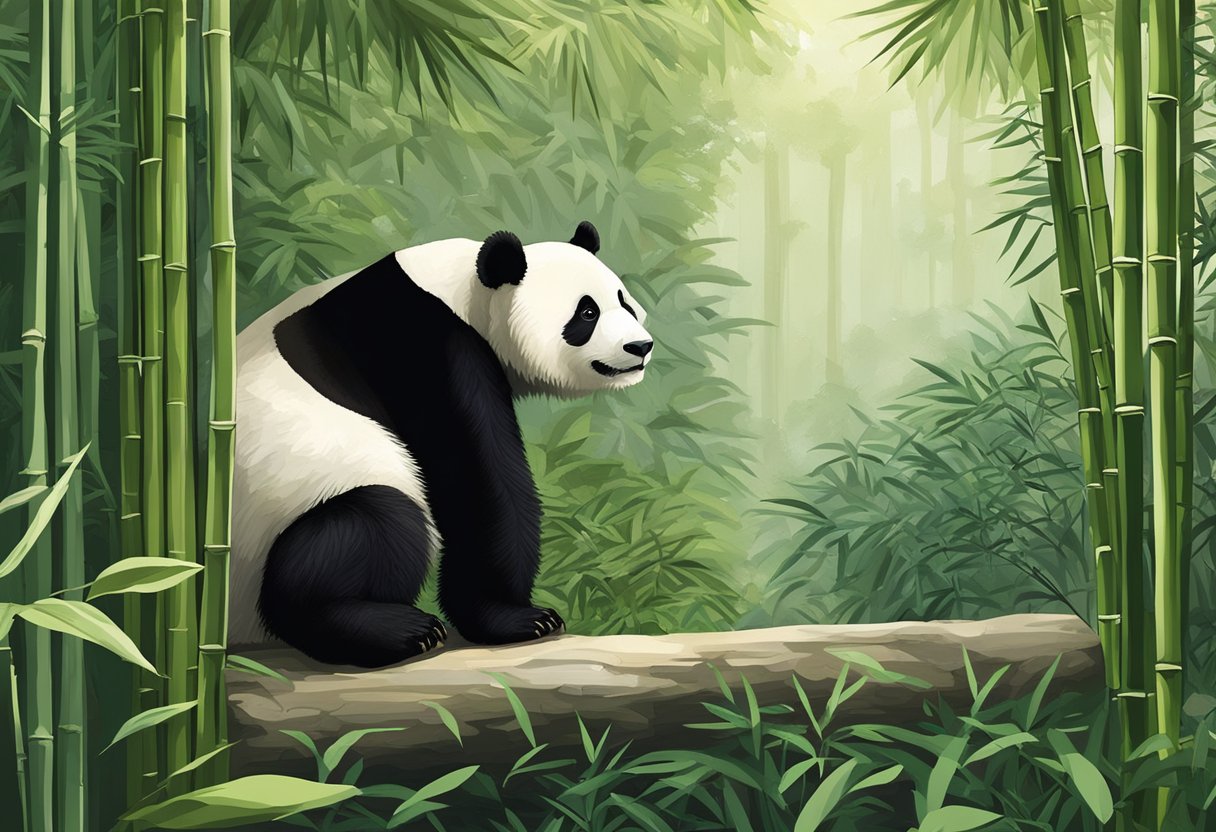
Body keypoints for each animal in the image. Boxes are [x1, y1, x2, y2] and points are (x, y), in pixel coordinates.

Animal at [228, 222, 653, 668]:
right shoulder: (423, 349)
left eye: (624, 302)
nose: (640, 347)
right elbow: (478, 481)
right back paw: (399, 629)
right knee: (376, 523)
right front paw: (516, 618)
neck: (461, 291)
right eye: (587, 313)